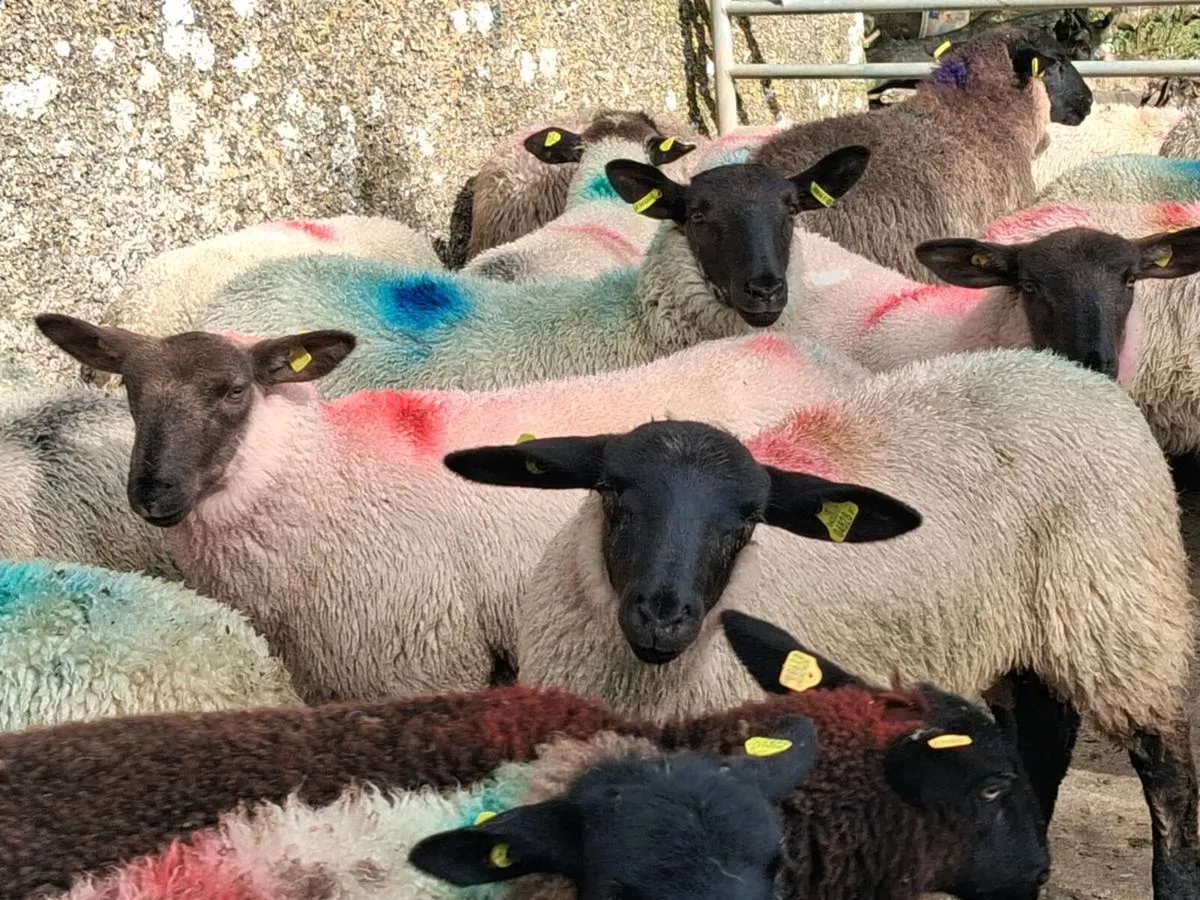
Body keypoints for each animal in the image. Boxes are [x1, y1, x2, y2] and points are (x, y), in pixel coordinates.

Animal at [36, 313, 873, 704]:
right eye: (131, 391)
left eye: (233, 391)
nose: (153, 492)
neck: (331, 477)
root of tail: (810, 352)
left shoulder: (421, 661)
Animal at [444, 350, 1197, 899]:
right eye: (610, 493)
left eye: (748, 521)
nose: (663, 614)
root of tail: (1067, 368)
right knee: (1041, 734)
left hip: (1120, 609)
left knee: (1165, 759)